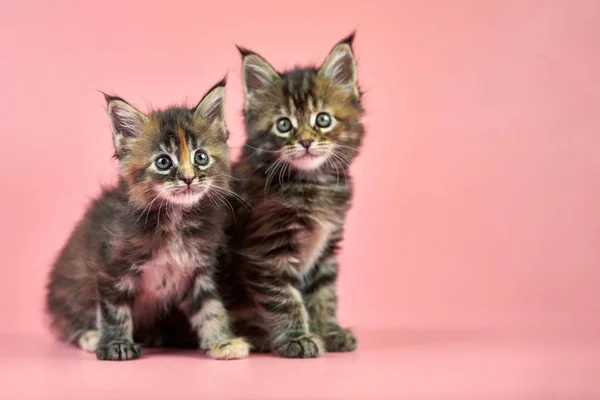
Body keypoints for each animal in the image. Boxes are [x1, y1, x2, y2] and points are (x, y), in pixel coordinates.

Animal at [45, 79, 250, 360]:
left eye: (201, 157)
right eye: (163, 162)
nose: (189, 178)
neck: (175, 219)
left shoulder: (199, 271)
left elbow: (211, 309)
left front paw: (223, 341)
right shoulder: (111, 266)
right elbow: (114, 310)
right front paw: (116, 344)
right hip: (72, 286)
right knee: (70, 320)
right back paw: (90, 336)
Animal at [219, 35, 364, 360]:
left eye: (323, 119)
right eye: (284, 125)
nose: (307, 141)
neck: (311, 185)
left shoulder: (325, 251)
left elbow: (324, 296)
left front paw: (330, 331)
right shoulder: (267, 252)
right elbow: (284, 299)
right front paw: (296, 338)